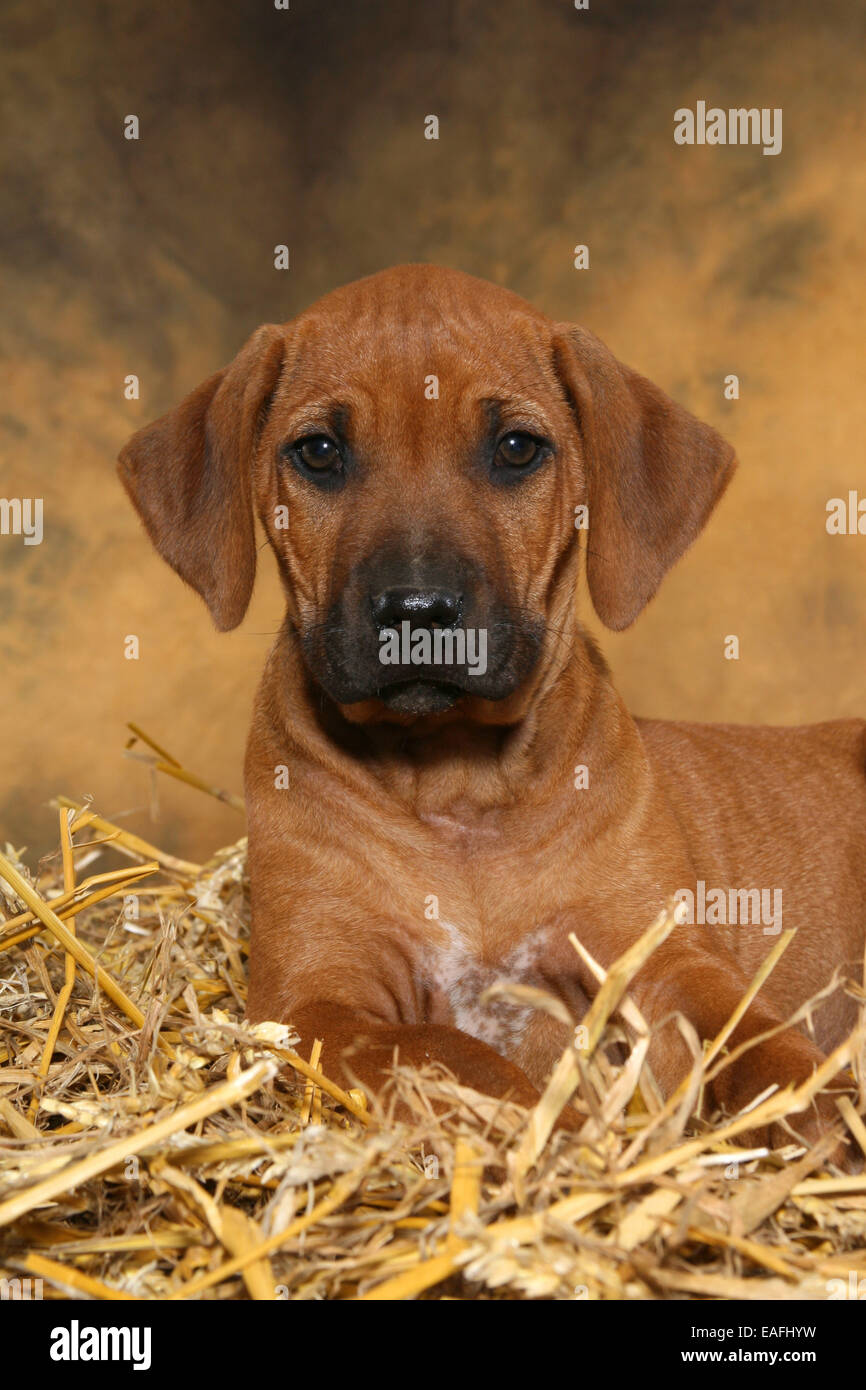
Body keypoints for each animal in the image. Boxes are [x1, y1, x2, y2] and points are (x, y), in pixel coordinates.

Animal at [118, 265, 861, 1156]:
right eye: (320, 452)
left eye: (516, 449)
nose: (417, 610)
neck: (456, 781)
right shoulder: (316, 997)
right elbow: (451, 1054)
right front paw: (557, 1132)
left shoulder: (660, 952)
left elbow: (747, 1029)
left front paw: (816, 1104)